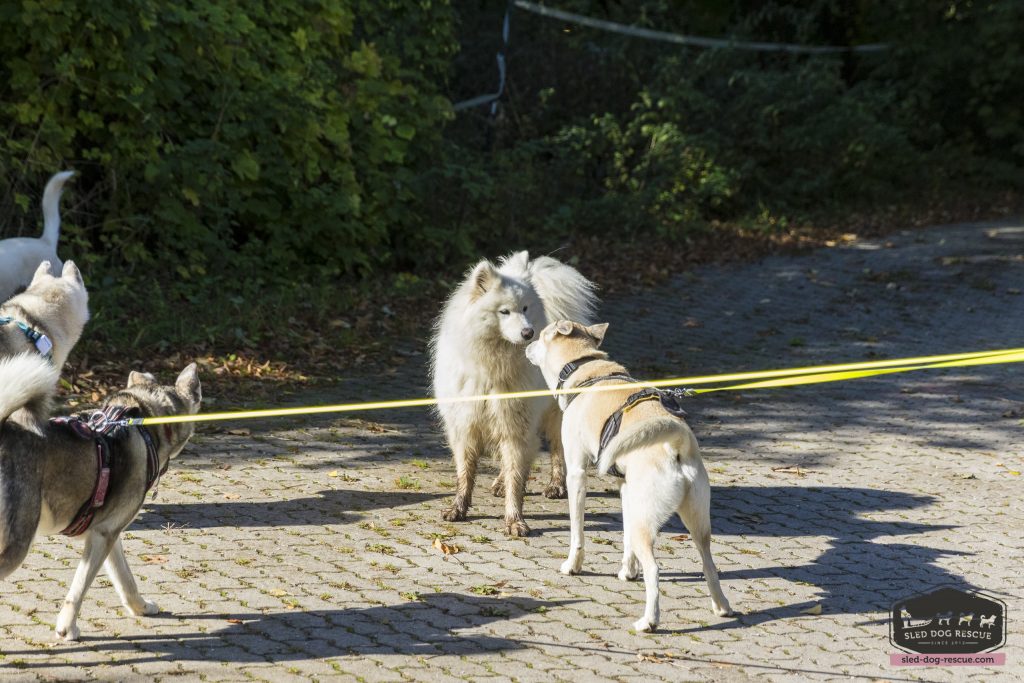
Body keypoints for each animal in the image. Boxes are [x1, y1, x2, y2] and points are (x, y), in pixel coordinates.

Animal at [0, 362, 201, 641]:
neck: (143, 423)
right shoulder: (102, 536)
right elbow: (78, 590)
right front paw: (67, 629)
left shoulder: (108, 534)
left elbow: (126, 580)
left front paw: (140, 607)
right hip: (16, 545)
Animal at [430, 251, 597, 536]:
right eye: (504, 311)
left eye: (526, 308)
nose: (528, 332)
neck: (493, 366)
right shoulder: (465, 425)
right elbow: (466, 472)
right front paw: (458, 509)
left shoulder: (516, 425)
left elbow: (517, 477)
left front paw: (514, 520)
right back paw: (499, 483)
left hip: (554, 417)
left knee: (556, 450)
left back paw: (555, 485)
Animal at [526, 320, 733, 631]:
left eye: (540, 336)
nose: (526, 343)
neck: (585, 368)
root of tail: (677, 444)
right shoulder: (625, 488)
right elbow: (624, 539)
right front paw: (627, 570)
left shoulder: (576, 474)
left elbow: (577, 532)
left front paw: (573, 566)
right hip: (692, 522)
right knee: (708, 563)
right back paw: (721, 606)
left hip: (646, 524)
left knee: (655, 570)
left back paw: (649, 621)